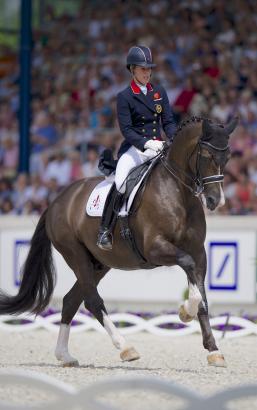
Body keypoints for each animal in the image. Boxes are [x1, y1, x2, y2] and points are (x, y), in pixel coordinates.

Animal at [0, 116, 237, 368]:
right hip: (76, 255)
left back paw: (65, 355)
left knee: (71, 300)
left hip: (99, 264)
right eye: (207, 155)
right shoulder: (155, 248)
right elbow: (189, 267)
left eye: (228, 157)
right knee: (92, 301)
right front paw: (185, 312)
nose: (216, 201)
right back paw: (125, 347)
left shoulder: (199, 252)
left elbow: (202, 295)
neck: (177, 191)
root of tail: (57, 201)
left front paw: (213, 350)